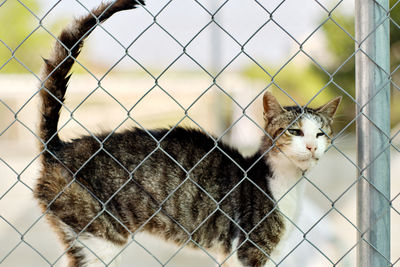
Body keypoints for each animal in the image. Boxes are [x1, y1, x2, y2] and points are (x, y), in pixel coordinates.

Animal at [33, 0, 340, 267]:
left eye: (321, 134)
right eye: (295, 131)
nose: (312, 147)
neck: (287, 183)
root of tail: (59, 148)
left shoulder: (231, 256)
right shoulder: (249, 251)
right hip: (99, 240)